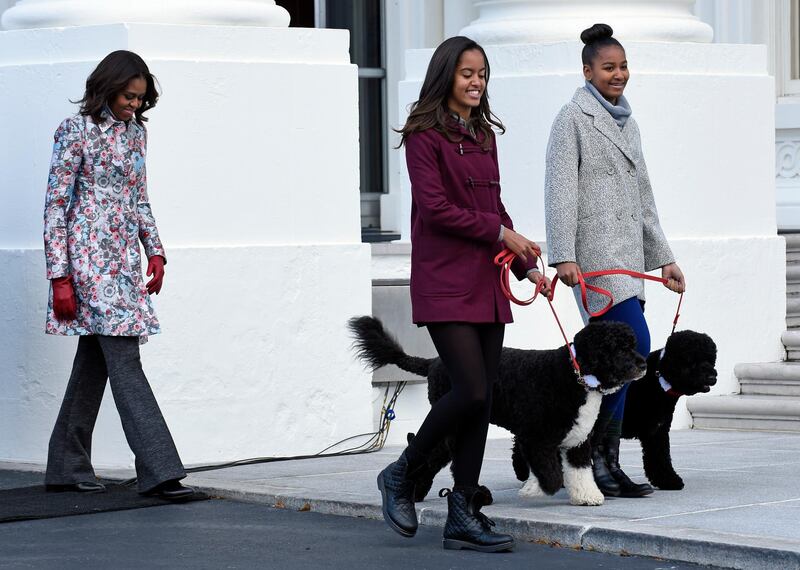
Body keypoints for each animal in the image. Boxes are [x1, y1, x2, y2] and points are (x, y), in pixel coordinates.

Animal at [346, 316, 648, 506]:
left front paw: (586, 496)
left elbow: (579, 471)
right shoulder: (534, 438)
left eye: (632, 344)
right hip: (454, 424)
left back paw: (417, 492)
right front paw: (535, 489)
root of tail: (433, 362)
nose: (642, 364)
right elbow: (550, 474)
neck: (574, 375)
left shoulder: (577, 442)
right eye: (616, 347)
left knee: (434, 457)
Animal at [620, 328, 716, 488]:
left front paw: (668, 480)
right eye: (692, 361)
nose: (712, 377)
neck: (659, 379)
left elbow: (660, 456)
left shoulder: (658, 430)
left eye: (710, 359)